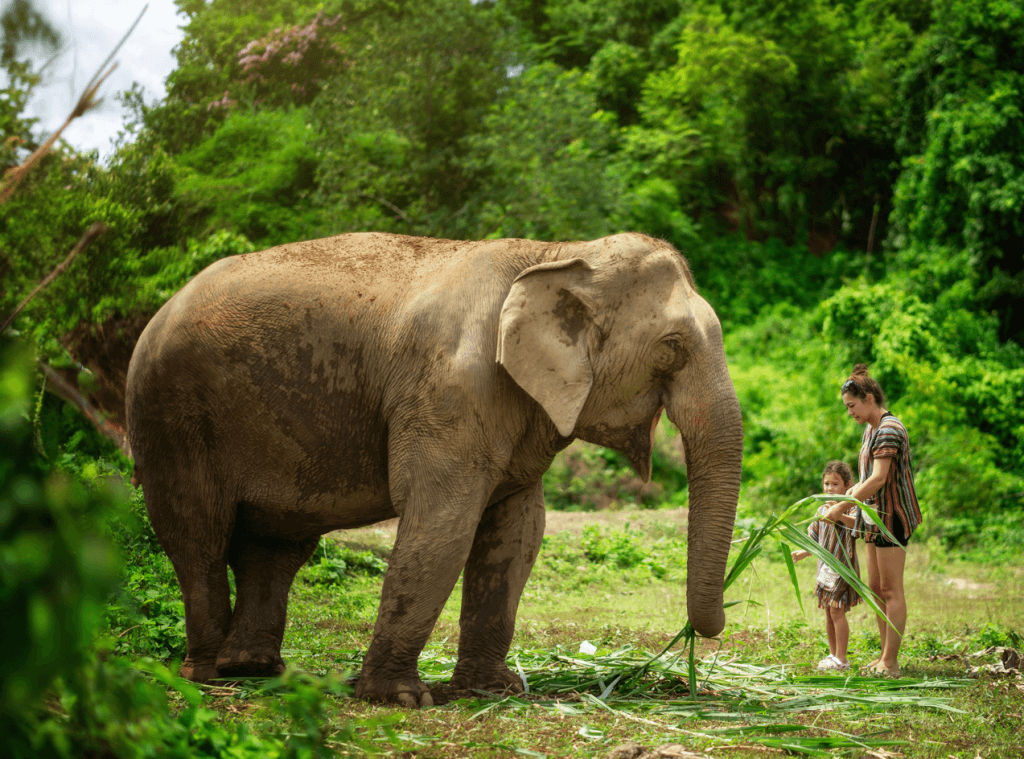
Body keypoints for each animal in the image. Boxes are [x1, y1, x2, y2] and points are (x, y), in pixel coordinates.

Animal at [125, 231, 743, 707]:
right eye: (671, 347)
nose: (706, 633)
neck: (560, 251)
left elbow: (518, 531)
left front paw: (492, 692)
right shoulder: (449, 390)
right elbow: (442, 521)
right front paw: (400, 699)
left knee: (274, 546)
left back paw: (257, 671)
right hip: (170, 413)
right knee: (197, 534)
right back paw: (209, 676)